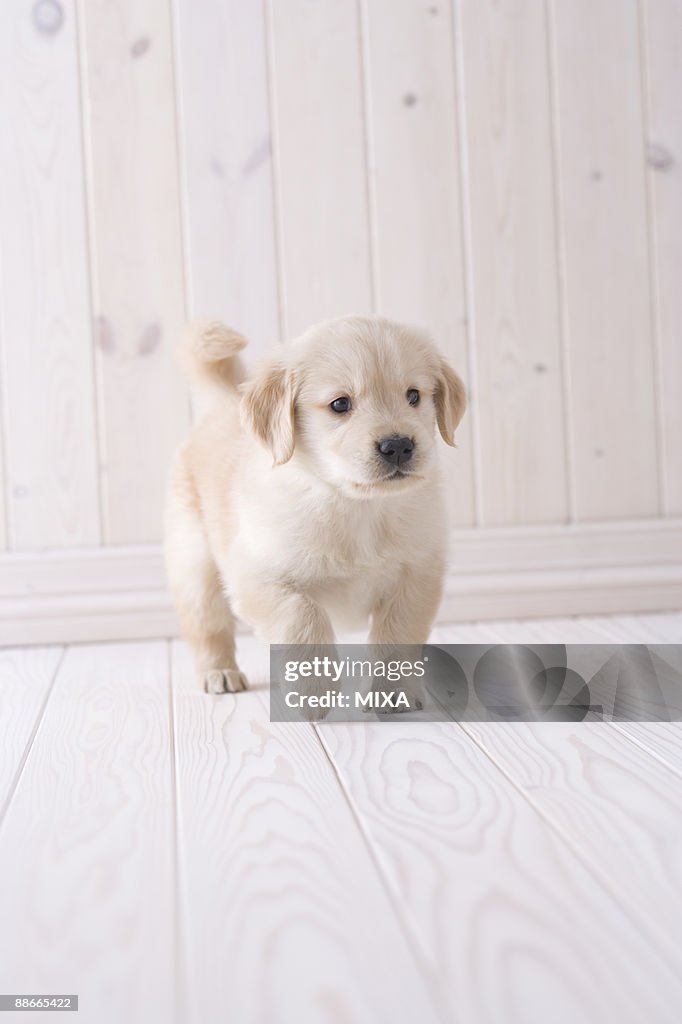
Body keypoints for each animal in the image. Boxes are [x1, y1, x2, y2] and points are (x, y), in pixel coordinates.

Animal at [163, 313, 462, 696]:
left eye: (414, 396)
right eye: (340, 404)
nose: (398, 446)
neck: (356, 505)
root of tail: (224, 401)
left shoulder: (419, 573)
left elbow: (398, 632)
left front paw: (392, 693)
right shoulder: (255, 578)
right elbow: (302, 618)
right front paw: (315, 686)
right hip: (195, 564)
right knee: (207, 625)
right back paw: (219, 671)